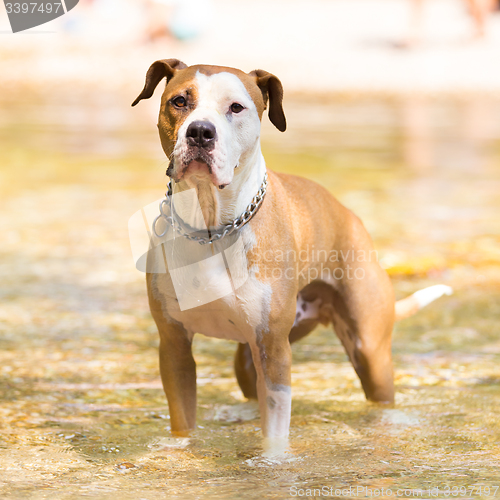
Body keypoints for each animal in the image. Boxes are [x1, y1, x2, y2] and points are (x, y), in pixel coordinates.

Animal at [131, 60, 452, 456]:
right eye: (179, 101)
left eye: (236, 107)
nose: (201, 132)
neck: (211, 229)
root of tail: (349, 215)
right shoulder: (175, 346)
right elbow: (183, 421)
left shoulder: (274, 351)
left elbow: (275, 433)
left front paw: (272, 463)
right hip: (248, 358)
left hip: (369, 353)